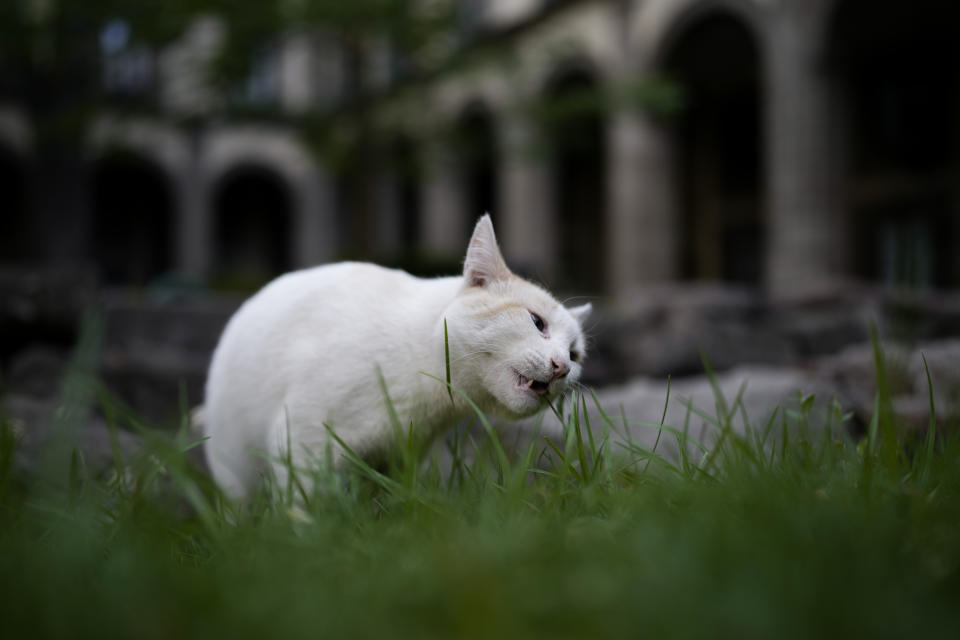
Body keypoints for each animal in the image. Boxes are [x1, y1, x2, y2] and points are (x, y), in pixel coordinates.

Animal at [204, 215, 592, 500]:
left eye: (575, 355)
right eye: (537, 322)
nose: (561, 367)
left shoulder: (401, 458)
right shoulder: (302, 439)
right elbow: (304, 505)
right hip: (233, 460)